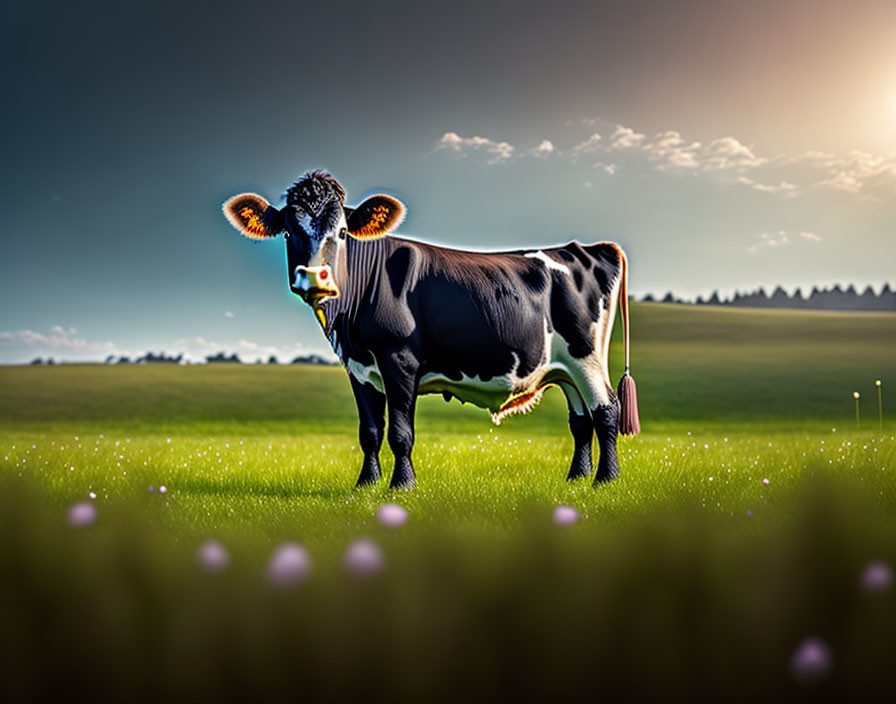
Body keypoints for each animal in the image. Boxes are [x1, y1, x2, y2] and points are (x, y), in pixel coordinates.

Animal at [226, 170, 644, 490]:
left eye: (343, 233)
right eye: (287, 233)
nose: (314, 277)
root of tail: (585, 247)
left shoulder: (399, 357)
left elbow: (400, 431)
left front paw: (401, 484)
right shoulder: (358, 367)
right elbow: (370, 431)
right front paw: (366, 484)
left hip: (586, 355)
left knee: (606, 409)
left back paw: (605, 480)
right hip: (564, 365)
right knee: (581, 419)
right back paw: (576, 478)